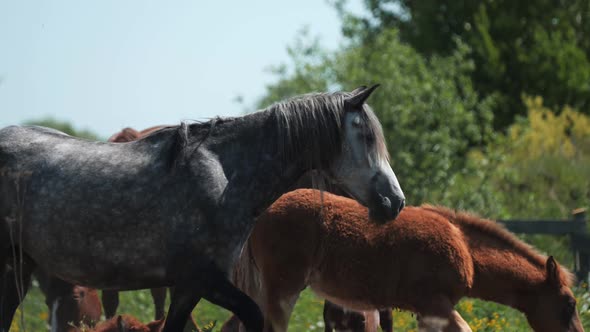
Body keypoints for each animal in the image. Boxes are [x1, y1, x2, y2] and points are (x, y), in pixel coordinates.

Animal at [0, 84, 408, 330]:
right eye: (366, 136)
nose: (395, 201)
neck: (225, 177)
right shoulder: (202, 280)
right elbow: (252, 316)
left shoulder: (187, 287)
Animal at [225, 189, 584, 332]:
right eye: (568, 304)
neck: (466, 250)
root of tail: (260, 214)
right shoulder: (434, 304)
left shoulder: (426, 312)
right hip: (283, 288)